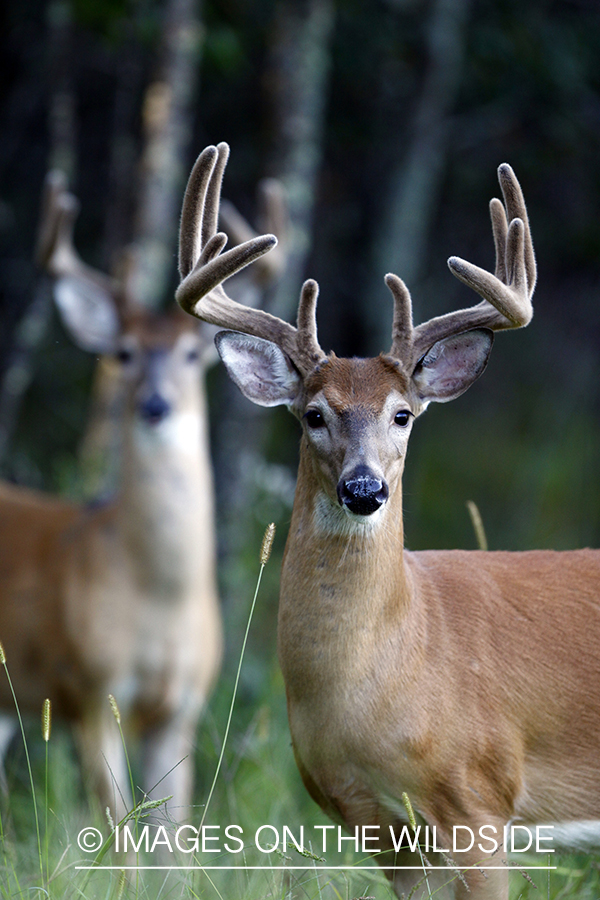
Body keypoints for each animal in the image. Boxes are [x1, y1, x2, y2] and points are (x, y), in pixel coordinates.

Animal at [0, 171, 229, 824]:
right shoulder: (90, 688)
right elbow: (120, 830)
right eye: (123, 352)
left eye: (192, 353)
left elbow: (175, 838)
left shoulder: (182, 708)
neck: (158, 596)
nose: (155, 405)